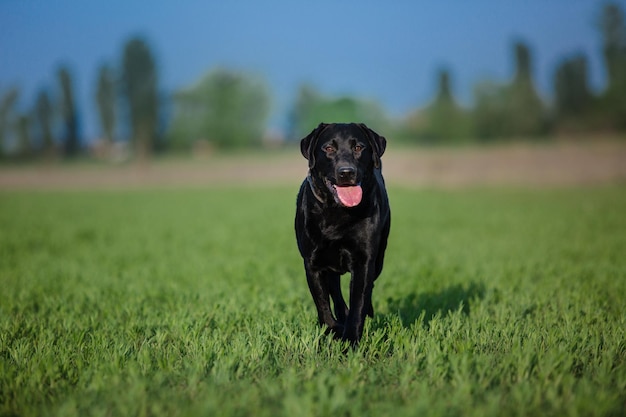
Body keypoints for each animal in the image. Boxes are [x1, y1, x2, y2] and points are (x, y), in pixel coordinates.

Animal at [294, 122, 390, 342]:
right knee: (335, 291)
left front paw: (351, 340)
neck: (336, 210)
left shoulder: (364, 261)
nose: (346, 172)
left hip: (379, 258)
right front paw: (332, 330)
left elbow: (358, 302)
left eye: (358, 147)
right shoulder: (313, 263)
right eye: (329, 148)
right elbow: (322, 304)